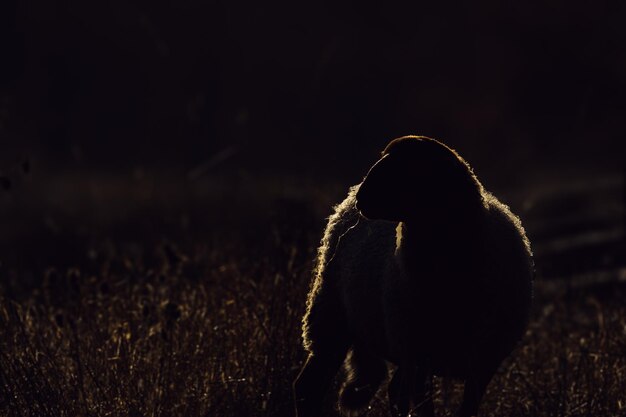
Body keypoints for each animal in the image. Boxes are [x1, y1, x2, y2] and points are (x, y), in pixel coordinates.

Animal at [292, 136, 532, 416]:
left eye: (403, 168)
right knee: (308, 387)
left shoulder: (483, 362)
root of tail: (345, 202)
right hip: (331, 317)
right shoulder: (419, 356)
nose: (362, 196)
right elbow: (423, 407)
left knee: (394, 390)